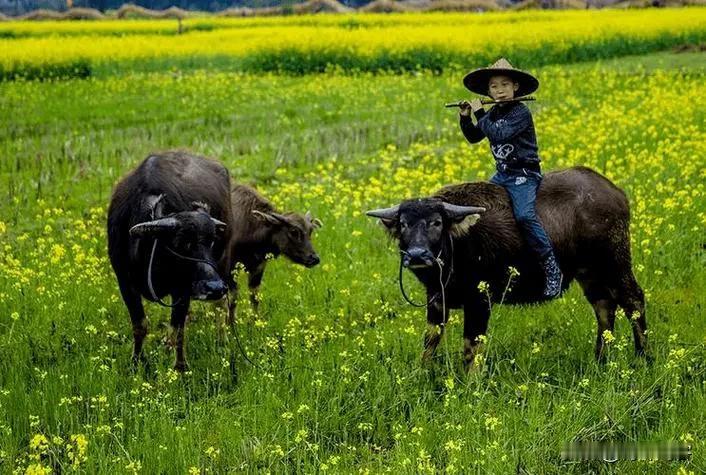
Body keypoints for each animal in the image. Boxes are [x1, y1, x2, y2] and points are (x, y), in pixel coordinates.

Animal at [107, 151, 232, 370]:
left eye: (212, 240)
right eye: (182, 242)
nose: (214, 287)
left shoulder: (182, 289)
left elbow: (178, 329)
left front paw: (180, 368)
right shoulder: (124, 282)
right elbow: (140, 325)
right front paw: (136, 362)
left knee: (220, 305)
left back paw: (221, 342)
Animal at [227, 182, 320, 324]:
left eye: (310, 231)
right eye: (294, 231)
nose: (314, 258)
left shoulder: (258, 267)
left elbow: (255, 297)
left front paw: (255, 322)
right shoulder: (231, 269)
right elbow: (233, 299)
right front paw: (231, 326)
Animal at [366, 167, 648, 372]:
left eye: (437, 222)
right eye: (404, 223)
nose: (416, 255)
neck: (458, 244)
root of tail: (617, 194)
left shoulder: (480, 301)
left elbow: (471, 347)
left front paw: (469, 384)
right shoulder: (436, 300)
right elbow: (430, 341)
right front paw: (422, 374)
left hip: (616, 261)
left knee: (633, 301)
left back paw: (642, 358)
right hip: (589, 272)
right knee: (604, 306)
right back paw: (600, 359)